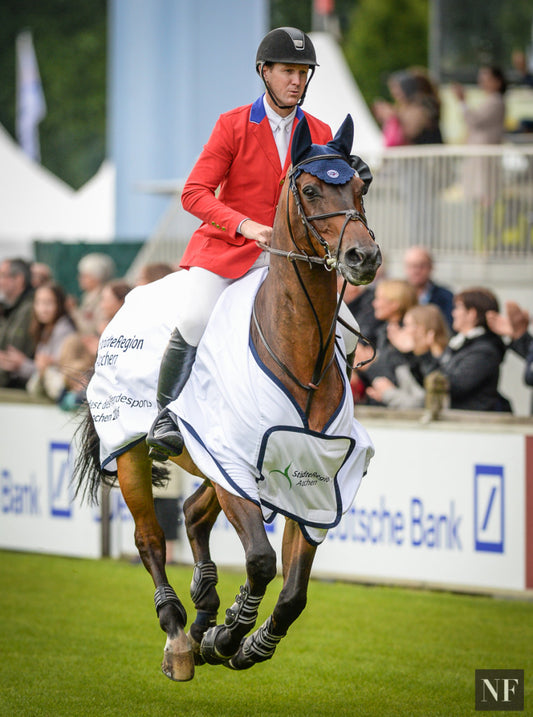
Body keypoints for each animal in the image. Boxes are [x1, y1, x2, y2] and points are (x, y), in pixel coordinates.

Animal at [75, 114, 382, 680]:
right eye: (310, 190)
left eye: (360, 186)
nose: (363, 257)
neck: (299, 355)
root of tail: (126, 297)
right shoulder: (233, 463)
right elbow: (261, 561)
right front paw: (231, 631)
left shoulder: (313, 478)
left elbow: (294, 592)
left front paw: (247, 641)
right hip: (133, 450)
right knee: (150, 539)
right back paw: (180, 634)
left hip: (207, 463)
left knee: (194, 513)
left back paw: (203, 612)